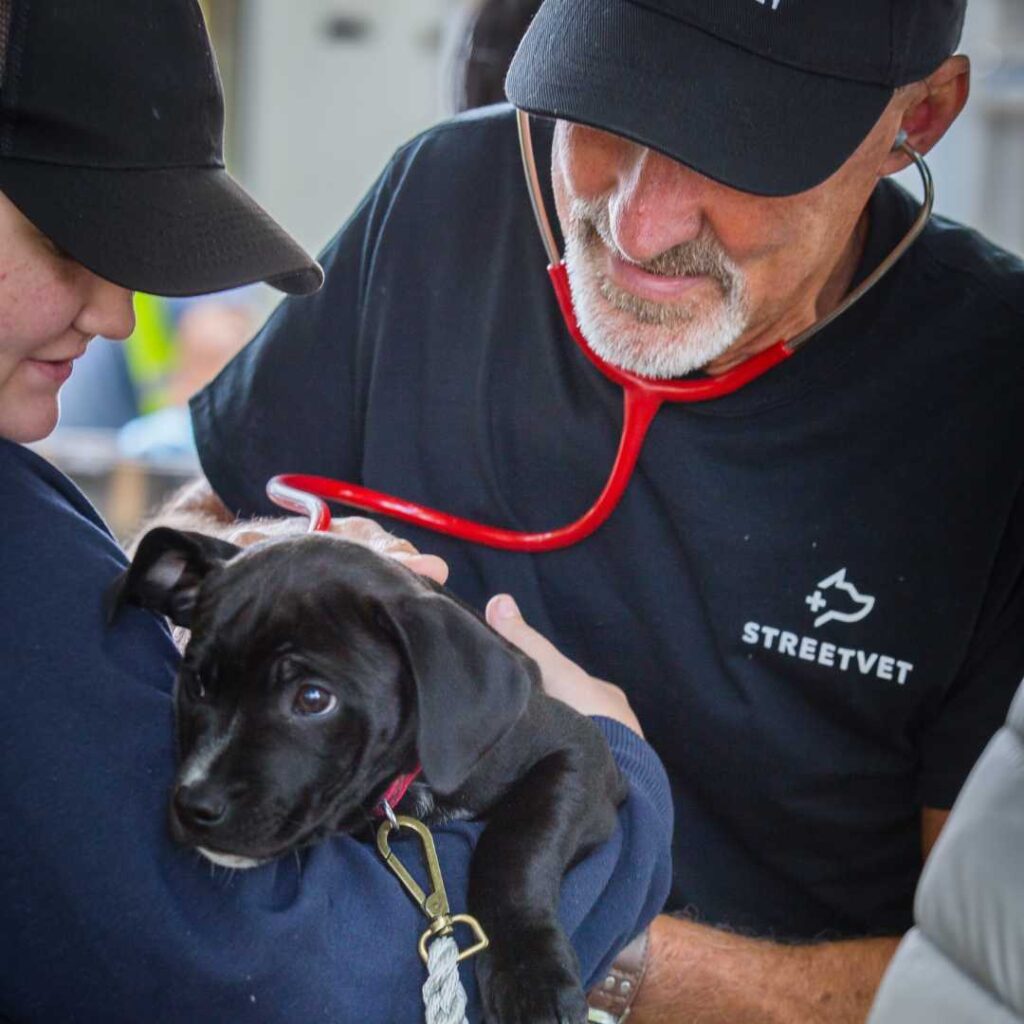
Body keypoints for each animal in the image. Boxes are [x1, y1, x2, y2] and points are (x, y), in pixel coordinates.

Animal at [110, 528, 622, 1024]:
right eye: (196, 683)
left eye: (313, 698)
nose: (194, 805)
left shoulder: (581, 751)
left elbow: (517, 845)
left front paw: (530, 975)